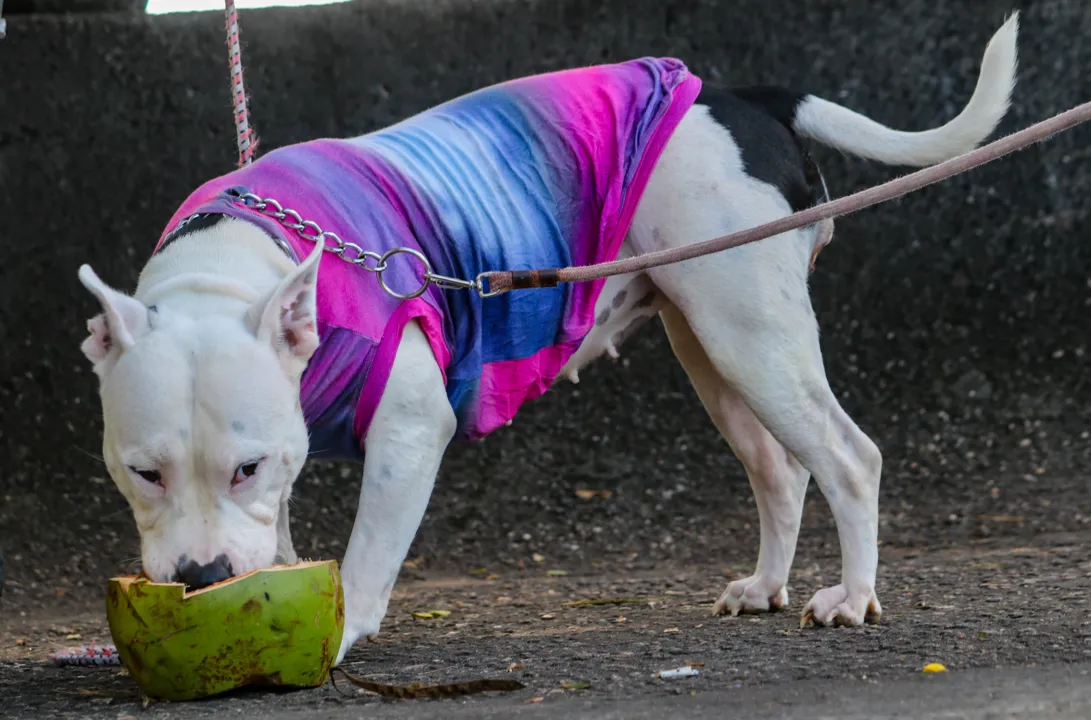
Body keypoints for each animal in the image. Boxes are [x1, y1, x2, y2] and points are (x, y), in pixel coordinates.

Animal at [76, 15, 1012, 663]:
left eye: (244, 466)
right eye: (142, 473)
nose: (200, 581)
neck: (240, 262)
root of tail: (738, 96)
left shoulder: (409, 433)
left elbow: (367, 556)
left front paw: (335, 636)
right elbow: (278, 538)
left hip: (751, 333)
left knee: (848, 458)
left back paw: (851, 596)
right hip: (709, 342)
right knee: (780, 471)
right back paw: (767, 586)